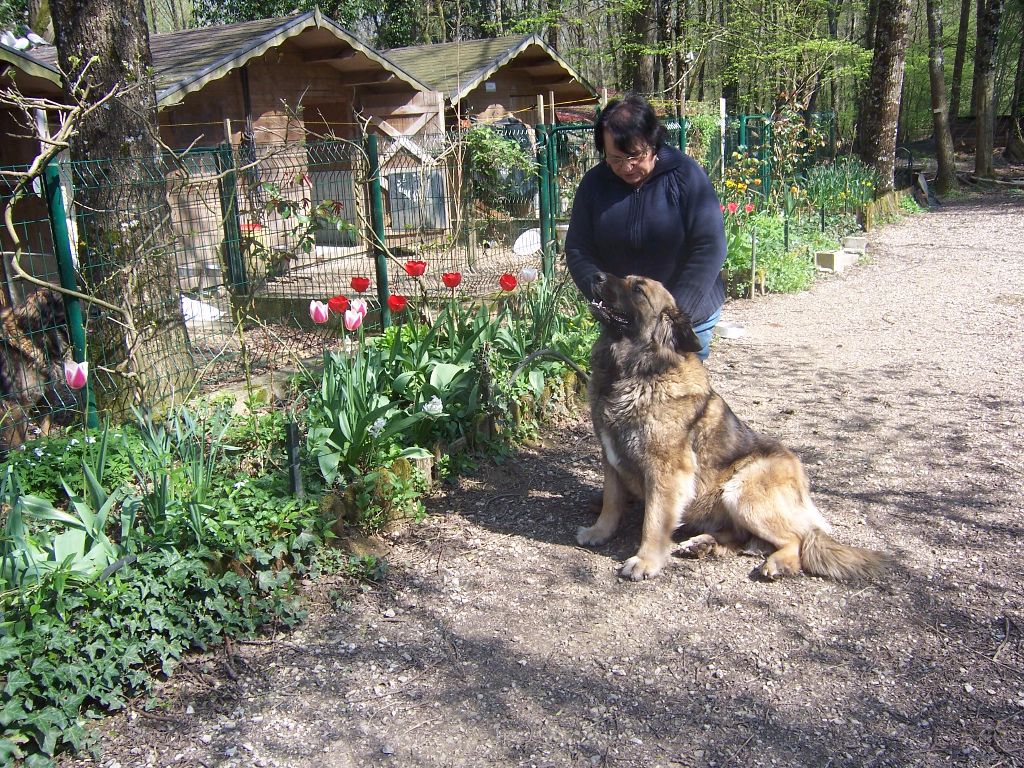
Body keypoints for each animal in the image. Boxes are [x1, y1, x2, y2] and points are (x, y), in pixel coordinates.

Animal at [581, 274, 892, 581]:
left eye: (637, 288)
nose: (596, 275)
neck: (636, 372)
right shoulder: (611, 458)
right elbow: (611, 502)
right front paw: (599, 531)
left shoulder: (667, 470)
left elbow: (654, 521)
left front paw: (646, 561)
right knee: (742, 536)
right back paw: (702, 545)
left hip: (740, 492)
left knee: (799, 539)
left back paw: (777, 562)